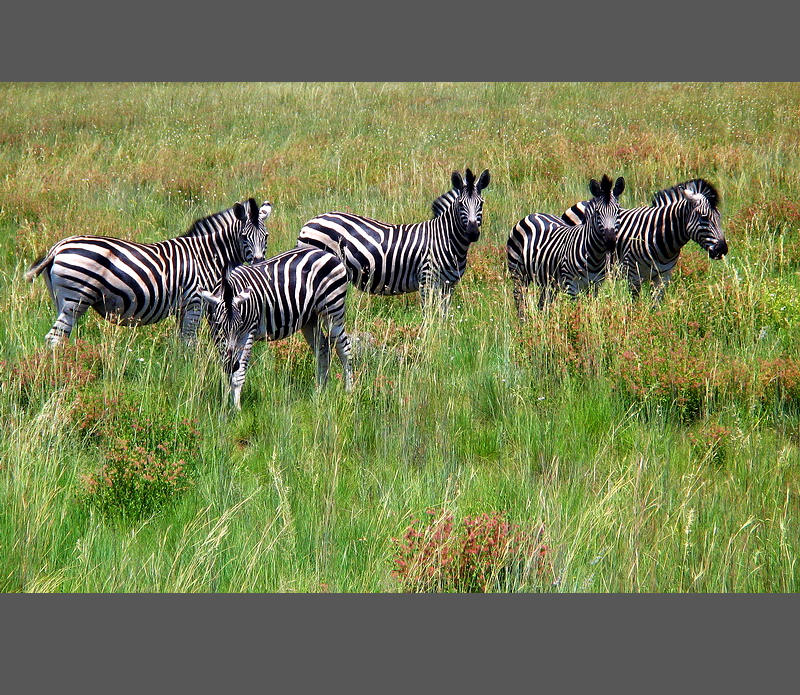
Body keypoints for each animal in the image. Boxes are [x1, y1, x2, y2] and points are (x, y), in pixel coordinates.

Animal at [24, 198, 272, 346]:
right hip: (75, 298)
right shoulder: (195, 302)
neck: (208, 254)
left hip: (62, 299)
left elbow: (181, 341)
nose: (259, 262)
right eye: (243, 237)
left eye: (266, 236)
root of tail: (58, 246)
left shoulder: (182, 306)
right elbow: (189, 342)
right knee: (55, 338)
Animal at [198, 247, 352, 410]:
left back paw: (348, 392)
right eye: (219, 325)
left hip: (333, 310)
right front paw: (225, 405)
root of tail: (326, 252)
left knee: (344, 349)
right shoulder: (216, 336)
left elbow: (238, 373)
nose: (234, 363)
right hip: (310, 319)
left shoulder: (248, 333)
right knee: (323, 349)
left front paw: (236, 409)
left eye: (239, 326)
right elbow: (227, 370)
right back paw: (320, 391)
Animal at [296, 168, 490, 312]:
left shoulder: (449, 285)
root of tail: (309, 223)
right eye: (461, 205)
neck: (445, 239)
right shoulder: (426, 280)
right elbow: (429, 315)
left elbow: (443, 316)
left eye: (481, 203)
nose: (473, 233)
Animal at [506, 174, 624, 316]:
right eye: (597, 212)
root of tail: (532, 214)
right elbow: (576, 311)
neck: (594, 256)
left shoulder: (595, 285)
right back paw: (524, 321)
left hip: (548, 280)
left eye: (618, 211)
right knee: (520, 302)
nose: (610, 241)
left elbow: (590, 310)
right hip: (518, 274)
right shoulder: (571, 286)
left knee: (542, 304)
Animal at [560, 178, 728, 300]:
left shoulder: (663, 277)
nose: (722, 249)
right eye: (704, 218)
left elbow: (655, 305)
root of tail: (584, 201)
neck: (660, 236)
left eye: (719, 217)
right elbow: (634, 303)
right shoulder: (633, 276)